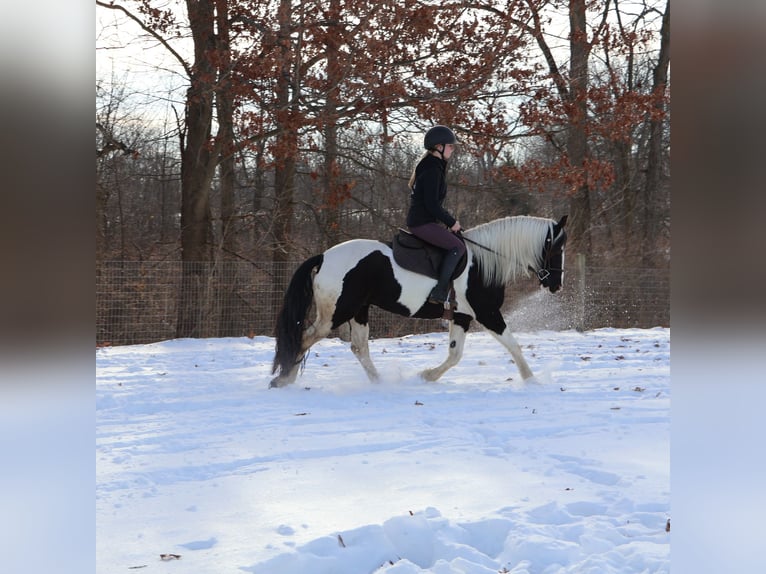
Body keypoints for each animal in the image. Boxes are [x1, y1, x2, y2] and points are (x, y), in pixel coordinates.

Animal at [269, 215, 568, 388]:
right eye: (557, 247)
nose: (556, 284)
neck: (483, 264)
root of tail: (323, 257)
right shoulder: (487, 313)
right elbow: (514, 346)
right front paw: (532, 381)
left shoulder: (462, 316)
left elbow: (455, 354)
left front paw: (427, 376)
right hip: (336, 313)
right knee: (305, 337)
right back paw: (285, 379)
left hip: (359, 310)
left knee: (358, 348)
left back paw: (379, 383)